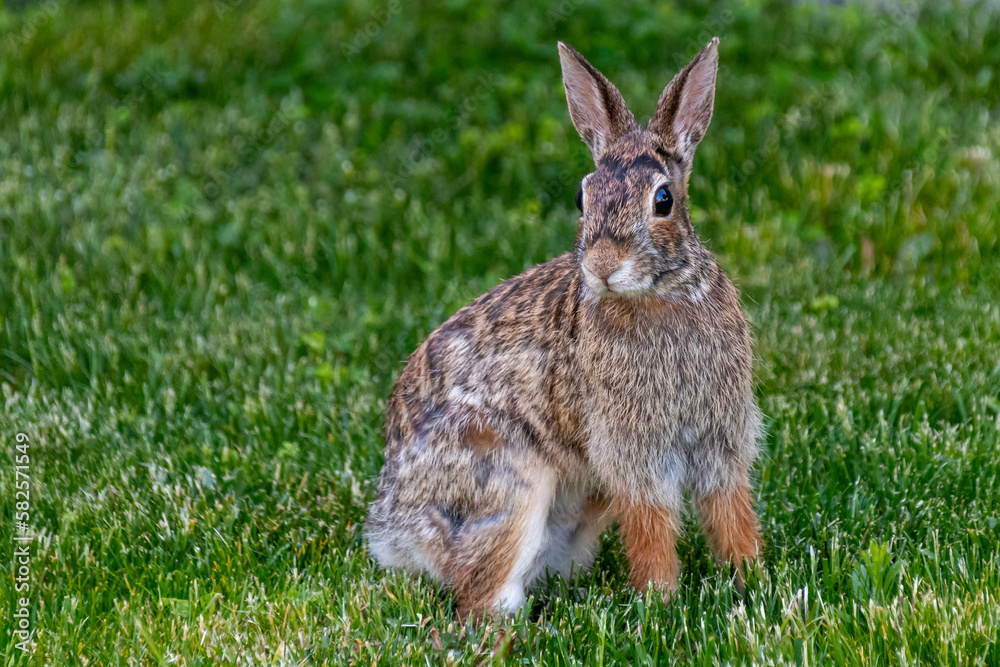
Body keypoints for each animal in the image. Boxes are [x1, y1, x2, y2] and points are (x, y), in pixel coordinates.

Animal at [367, 36, 763, 618]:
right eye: (583, 197)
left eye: (663, 200)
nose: (601, 265)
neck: (658, 295)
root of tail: (392, 528)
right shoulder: (632, 449)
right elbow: (650, 522)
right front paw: (660, 599)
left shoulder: (722, 439)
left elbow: (730, 511)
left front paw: (750, 579)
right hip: (511, 487)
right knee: (478, 602)